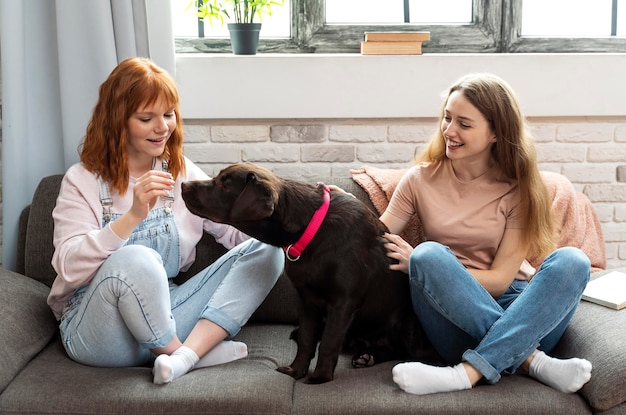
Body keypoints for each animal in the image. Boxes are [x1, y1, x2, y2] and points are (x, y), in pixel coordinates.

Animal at [183, 162, 432, 384]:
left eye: (225, 184)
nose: (184, 184)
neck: (311, 230)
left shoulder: (343, 302)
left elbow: (329, 341)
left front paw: (320, 377)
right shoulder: (307, 299)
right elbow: (306, 339)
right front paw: (296, 371)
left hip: (410, 324)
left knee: (407, 352)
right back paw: (367, 357)